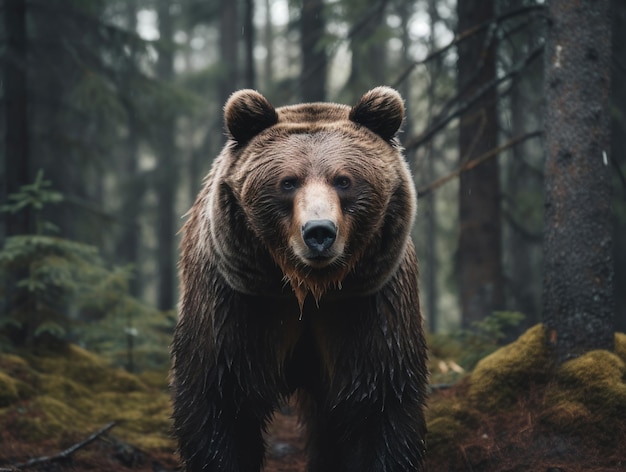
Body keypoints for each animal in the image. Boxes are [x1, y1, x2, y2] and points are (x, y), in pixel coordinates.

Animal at [168, 86, 426, 470]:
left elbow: (379, 404)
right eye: (288, 182)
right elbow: (220, 402)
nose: (319, 232)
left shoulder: (367, 307)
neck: (308, 289)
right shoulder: (237, 304)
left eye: (343, 180)